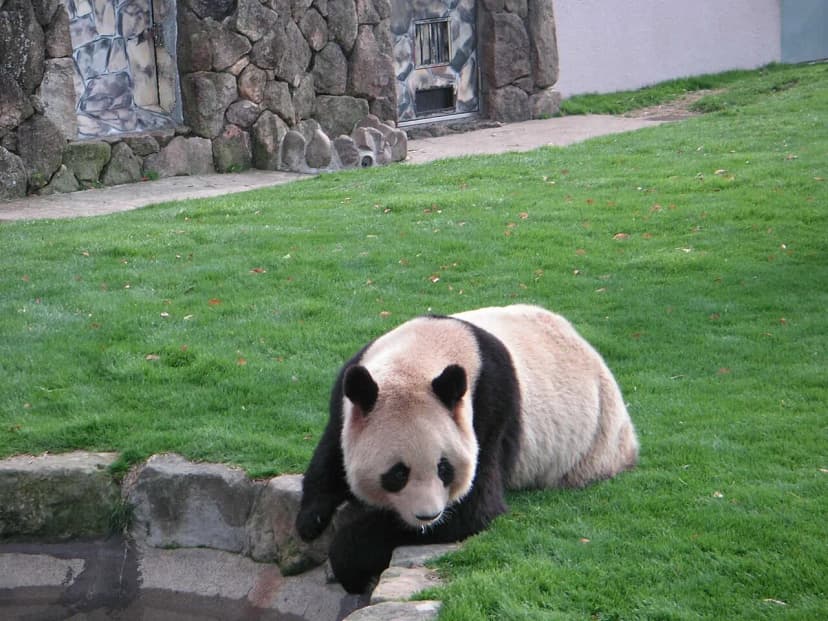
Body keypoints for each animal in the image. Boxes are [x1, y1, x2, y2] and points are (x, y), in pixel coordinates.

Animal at [295, 304, 638, 593]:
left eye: (444, 468)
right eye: (397, 474)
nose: (428, 515)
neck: (420, 357)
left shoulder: (489, 411)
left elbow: (473, 508)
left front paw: (350, 564)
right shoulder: (350, 391)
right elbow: (332, 450)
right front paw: (310, 519)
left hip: (594, 438)